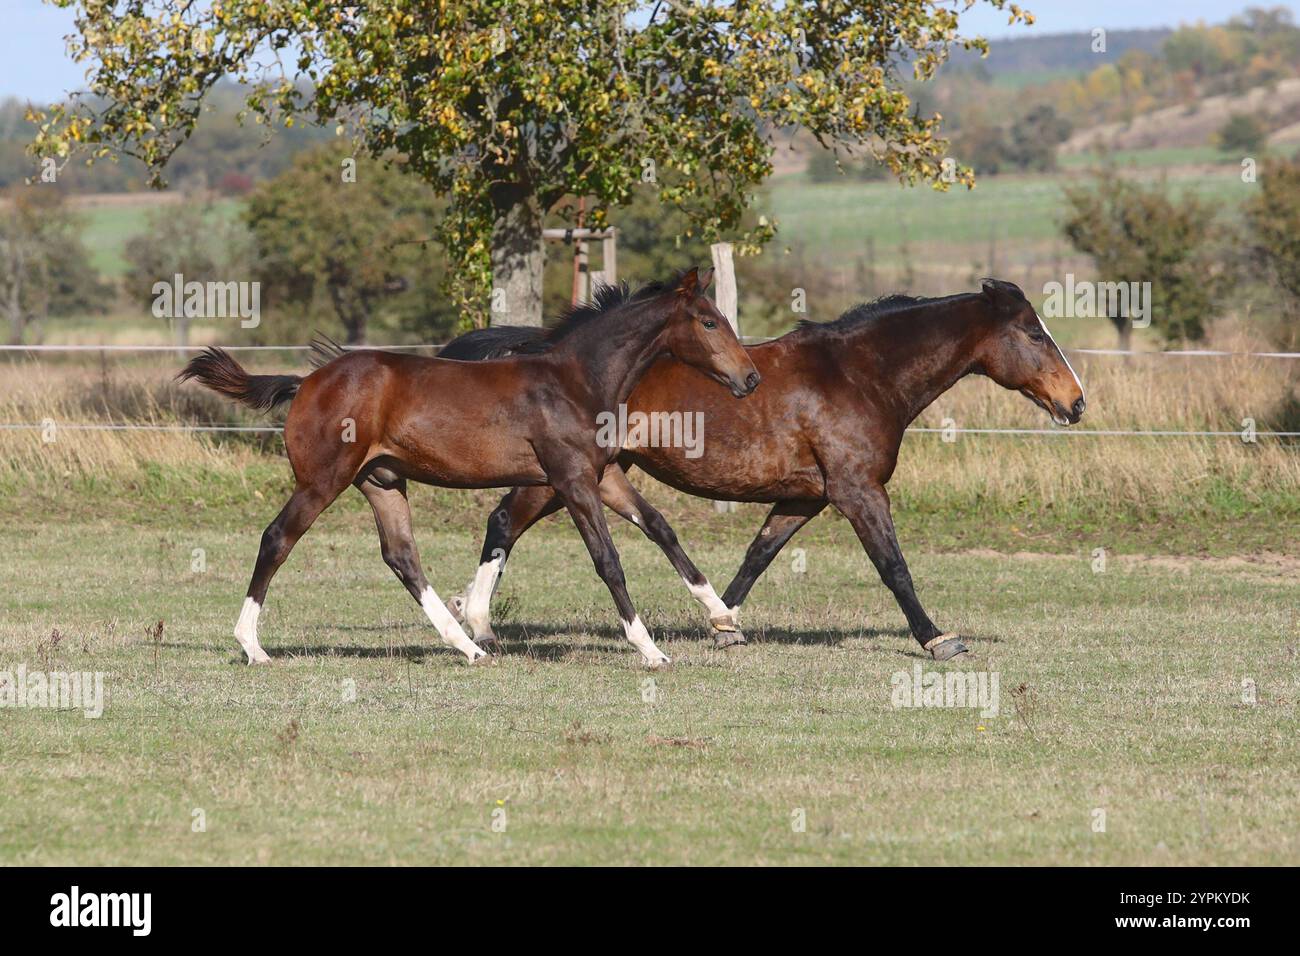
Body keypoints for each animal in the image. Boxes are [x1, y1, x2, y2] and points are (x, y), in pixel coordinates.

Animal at [178, 265, 759, 671]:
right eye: (709, 321)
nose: (750, 379)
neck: (575, 380)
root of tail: (306, 383)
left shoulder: (604, 476)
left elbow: (661, 528)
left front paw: (723, 617)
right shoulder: (571, 480)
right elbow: (608, 559)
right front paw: (651, 650)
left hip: (381, 481)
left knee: (402, 556)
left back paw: (467, 647)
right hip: (323, 481)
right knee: (277, 539)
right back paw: (252, 646)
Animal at [441, 280, 1081, 660]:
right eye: (1033, 333)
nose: (1075, 403)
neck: (859, 374)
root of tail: (539, 350)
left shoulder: (805, 498)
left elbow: (758, 556)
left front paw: (725, 624)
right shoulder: (858, 492)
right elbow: (893, 567)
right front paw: (938, 639)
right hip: (557, 477)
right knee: (503, 522)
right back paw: (479, 625)